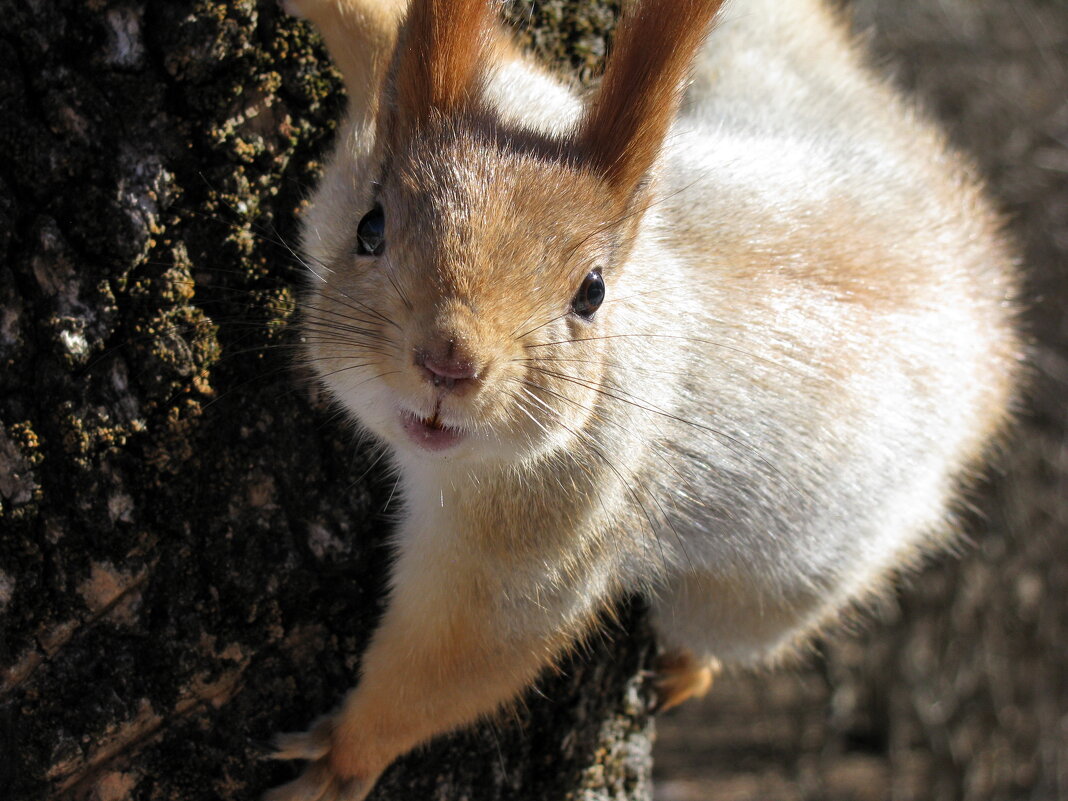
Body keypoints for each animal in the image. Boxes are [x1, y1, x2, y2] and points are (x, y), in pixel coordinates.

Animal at [262, 1, 1021, 801]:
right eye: (370, 227)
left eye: (591, 292)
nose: (450, 361)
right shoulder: (489, 105)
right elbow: (387, 38)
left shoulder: (552, 522)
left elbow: (460, 657)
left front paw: (344, 758)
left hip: (770, 592)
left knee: (720, 634)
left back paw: (689, 668)